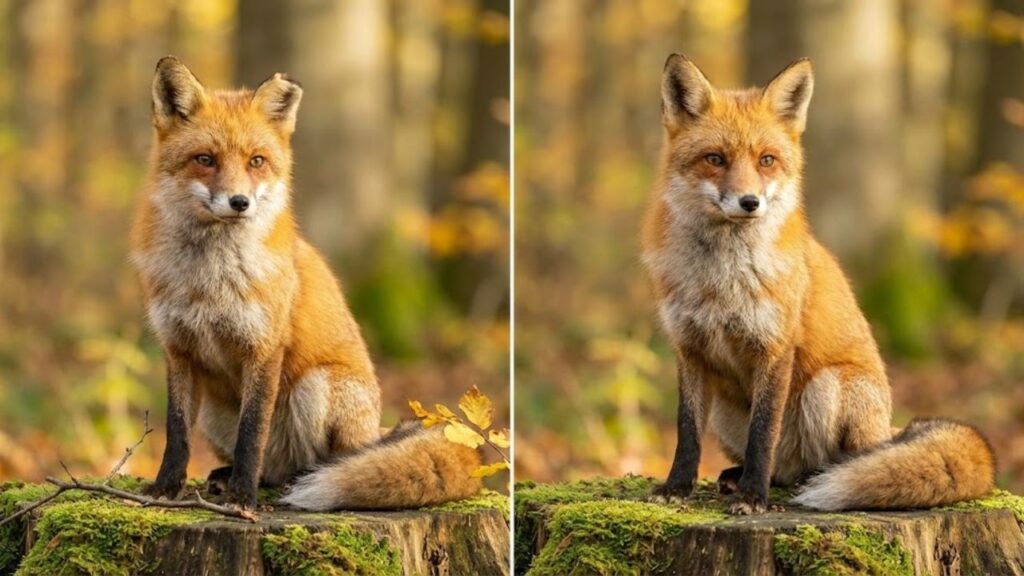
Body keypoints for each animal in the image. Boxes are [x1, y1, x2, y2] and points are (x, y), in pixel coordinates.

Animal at [130, 56, 481, 511]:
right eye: (205, 159)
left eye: (256, 161)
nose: (239, 202)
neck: (209, 281)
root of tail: (375, 428)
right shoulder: (178, 349)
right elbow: (176, 433)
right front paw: (165, 489)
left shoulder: (264, 347)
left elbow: (252, 432)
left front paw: (243, 499)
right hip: (213, 412)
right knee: (271, 466)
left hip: (318, 387)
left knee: (335, 459)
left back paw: (303, 479)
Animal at [642, 55, 995, 514]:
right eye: (715, 159)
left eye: (767, 160)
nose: (750, 202)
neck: (721, 281)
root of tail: (888, 428)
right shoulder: (689, 348)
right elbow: (686, 432)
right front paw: (677, 487)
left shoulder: (775, 347)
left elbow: (763, 433)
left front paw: (753, 497)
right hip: (724, 411)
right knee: (782, 468)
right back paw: (746, 477)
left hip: (831, 387)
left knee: (847, 459)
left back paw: (819, 478)